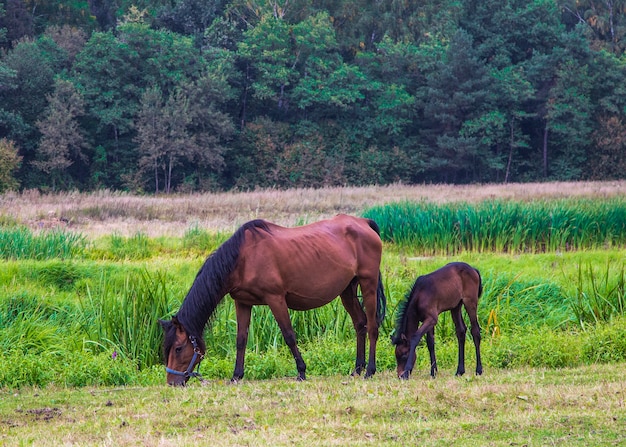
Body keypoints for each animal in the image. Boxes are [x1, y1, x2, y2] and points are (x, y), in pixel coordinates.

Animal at [160, 215, 386, 386]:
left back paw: (370, 370)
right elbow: (240, 339)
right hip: (347, 290)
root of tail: (364, 223)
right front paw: (236, 376)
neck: (242, 258)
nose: (172, 382)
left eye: (178, 348)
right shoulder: (242, 303)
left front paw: (301, 372)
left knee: (372, 326)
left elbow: (289, 335)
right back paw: (357, 369)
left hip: (368, 284)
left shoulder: (275, 299)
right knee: (360, 324)